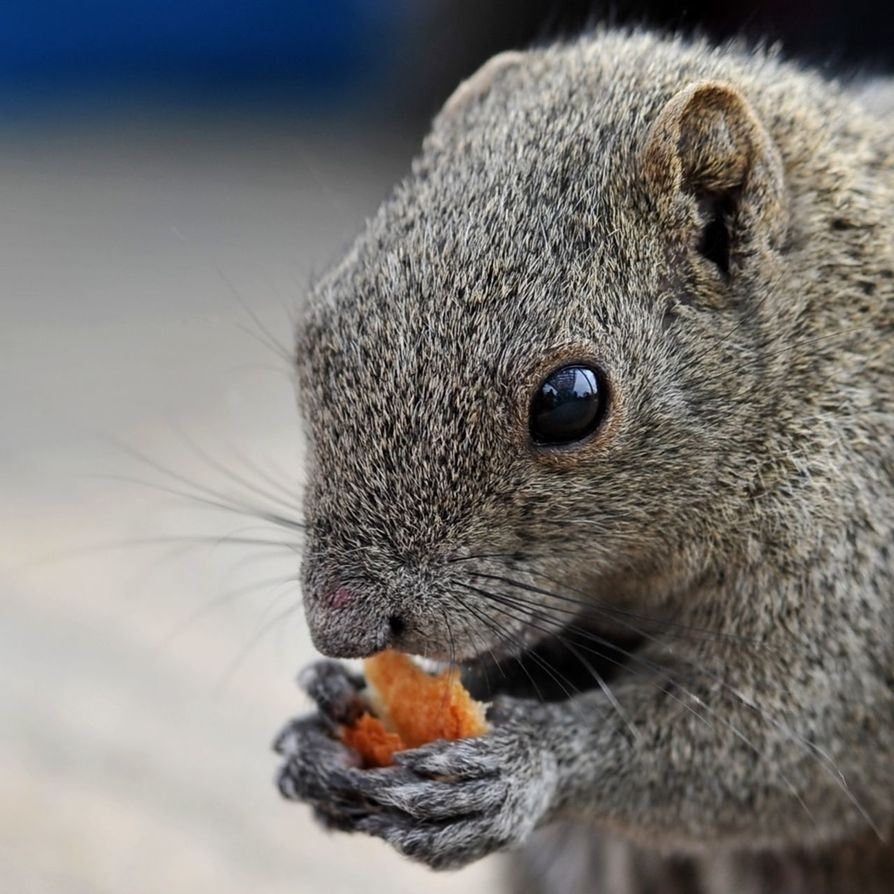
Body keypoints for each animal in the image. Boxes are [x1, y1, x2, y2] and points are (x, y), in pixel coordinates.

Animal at [274, 28, 894, 894]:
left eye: (570, 403)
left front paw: (526, 767)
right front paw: (327, 720)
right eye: (316, 331)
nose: (341, 627)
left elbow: (778, 741)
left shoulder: (854, 576)